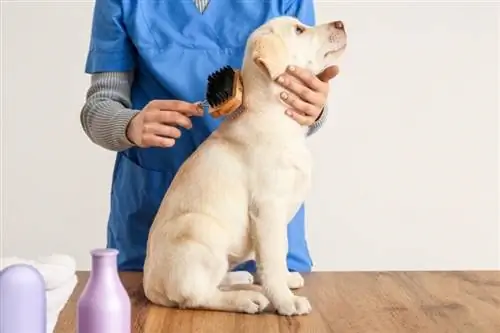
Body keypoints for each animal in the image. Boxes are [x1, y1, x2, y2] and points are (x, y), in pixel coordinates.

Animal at [143, 15, 346, 316]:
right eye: (299, 30)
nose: (341, 24)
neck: (274, 115)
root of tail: (149, 286)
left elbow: (276, 254)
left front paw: (286, 280)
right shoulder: (268, 207)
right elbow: (273, 258)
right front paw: (286, 301)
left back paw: (241, 280)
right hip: (200, 229)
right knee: (195, 295)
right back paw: (246, 298)